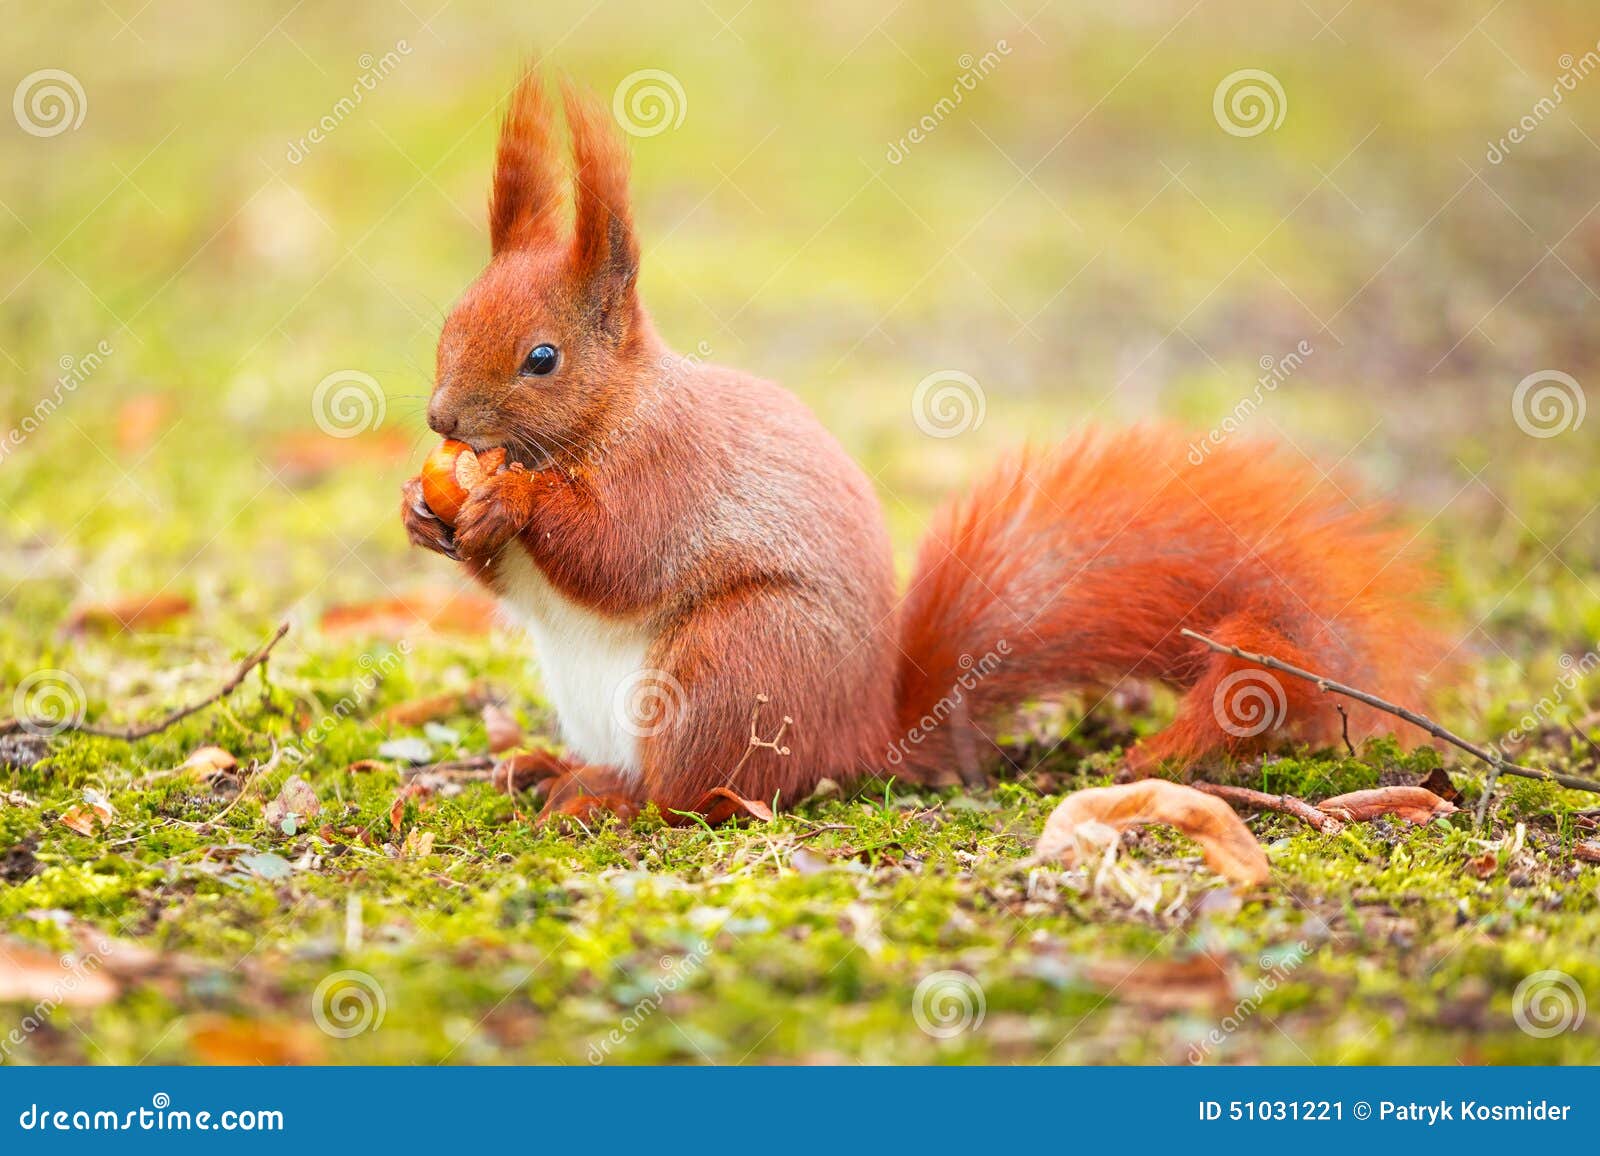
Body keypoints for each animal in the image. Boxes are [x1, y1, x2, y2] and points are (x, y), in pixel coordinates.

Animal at [401, 73, 1444, 822]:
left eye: (543, 358)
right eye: (447, 322)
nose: (444, 422)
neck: (607, 415)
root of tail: (860, 738)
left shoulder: (672, 471)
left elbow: (620, 550)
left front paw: (516, 503)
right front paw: (424, 513)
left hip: (730, 668)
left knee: (698, 795)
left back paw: (606, 796)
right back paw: (542, 765)